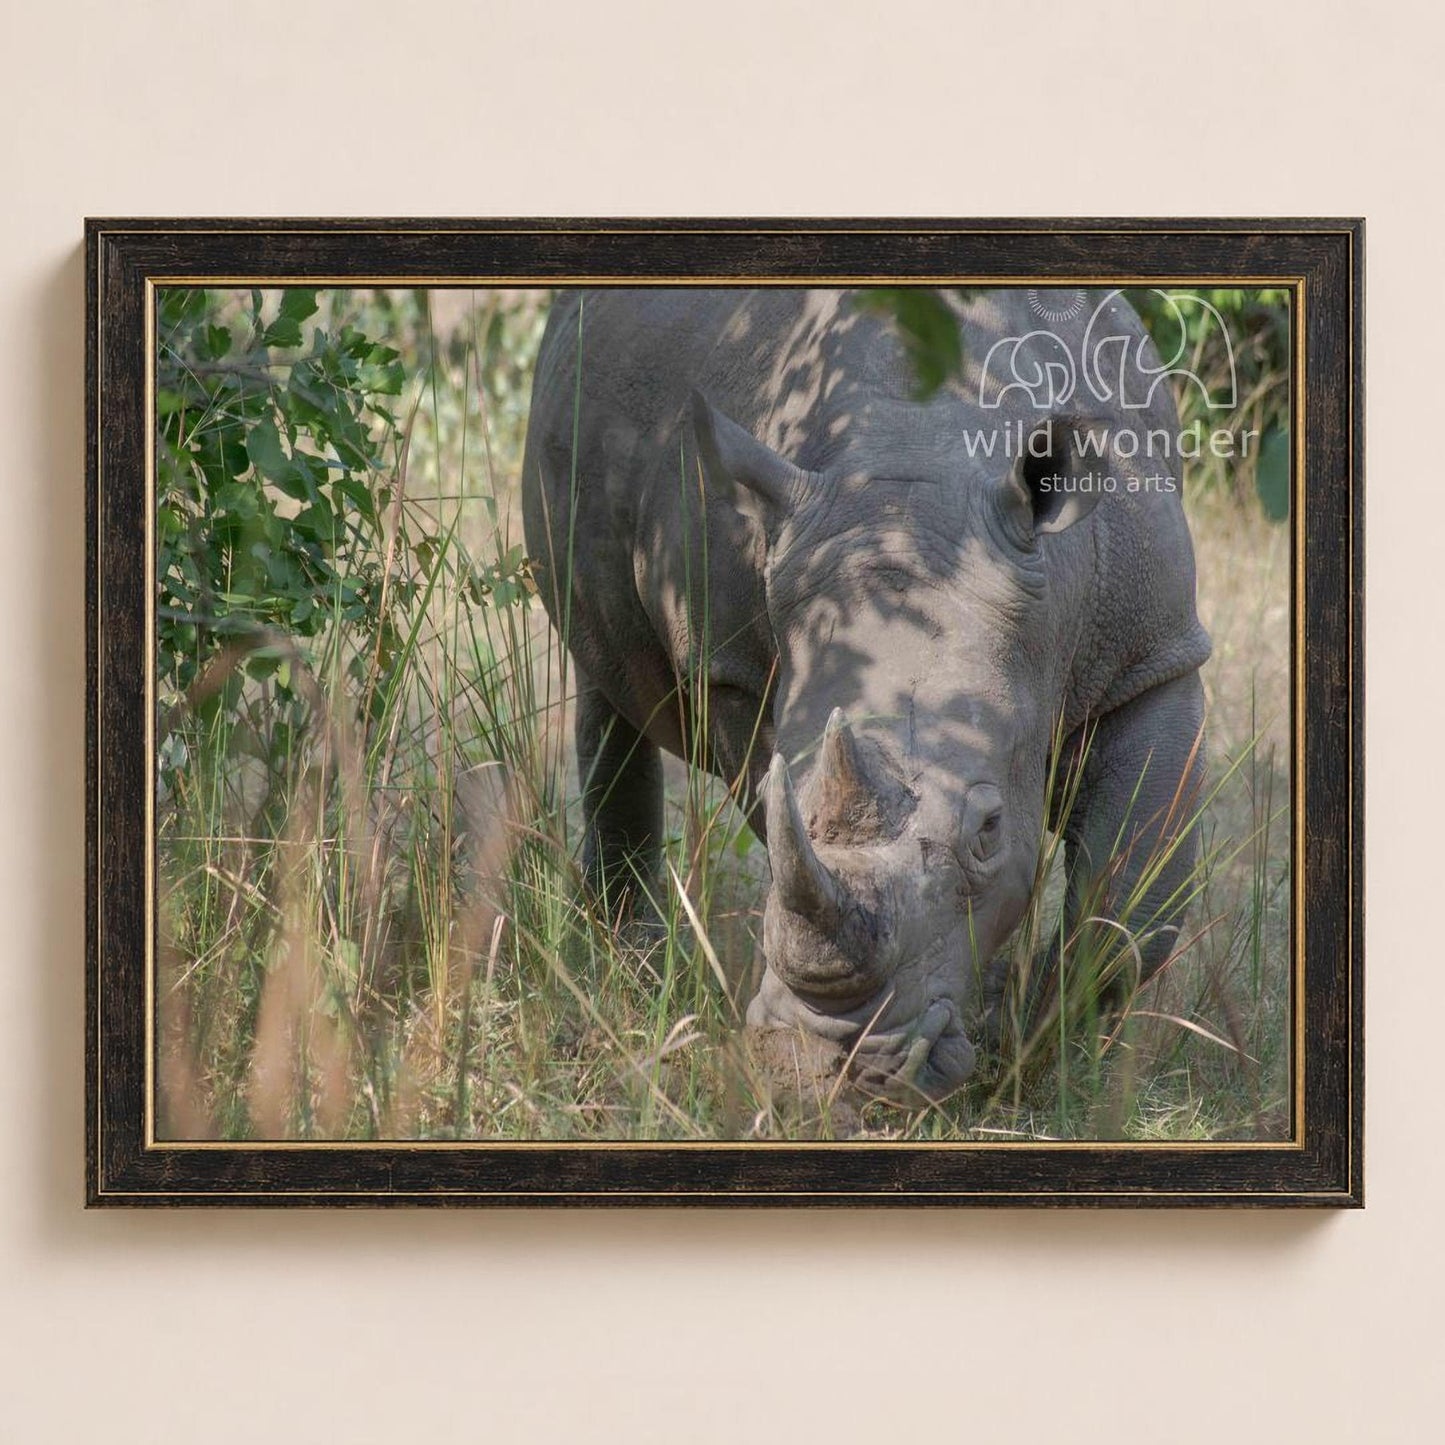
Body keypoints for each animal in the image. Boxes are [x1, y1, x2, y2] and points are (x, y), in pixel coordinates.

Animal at [520, 287, 1211, 1104]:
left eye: (989, 828)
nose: (831, 1072)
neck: (916, 461)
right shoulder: (733, 669)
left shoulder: (1154, 653)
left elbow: (1131, 907)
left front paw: (1033, 1046)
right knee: (606, 686)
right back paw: (626, 963)